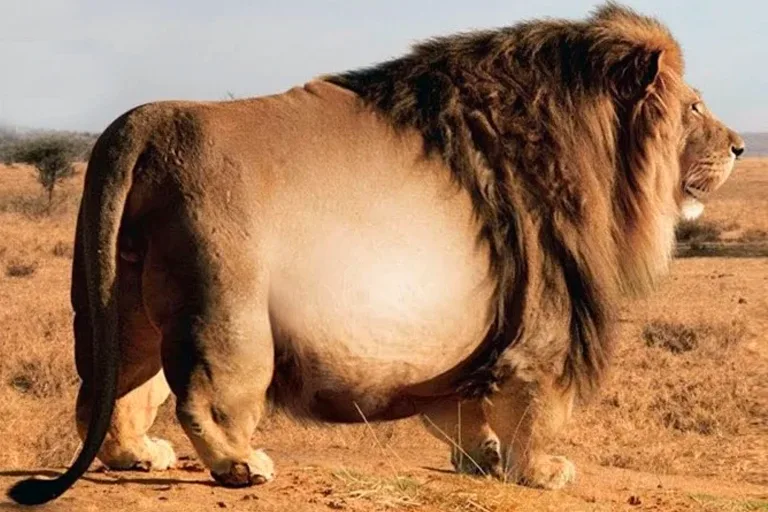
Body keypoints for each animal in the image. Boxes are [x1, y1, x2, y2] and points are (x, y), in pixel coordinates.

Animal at [9, 2, 744, 505]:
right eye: (694, 107)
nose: (740, 146)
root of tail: (146, 122)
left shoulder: (469, 335)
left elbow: (461, 409)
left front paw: (483, 457)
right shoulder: (545, 321)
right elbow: (533, 407)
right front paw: (539, 471)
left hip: (121, 299)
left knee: (109, 388)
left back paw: (137, 454)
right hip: (229, 308)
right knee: (201, 396)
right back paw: (240, 466)